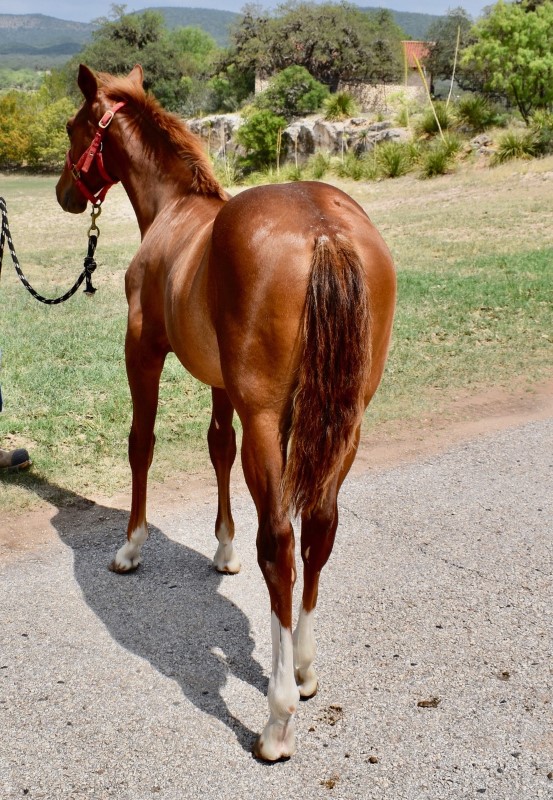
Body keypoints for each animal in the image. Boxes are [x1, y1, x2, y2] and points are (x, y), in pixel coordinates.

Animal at [56, 65, 396, 760]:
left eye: (76, 127)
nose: (64, 194)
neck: (174, 212)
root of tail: (324, 231)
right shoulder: (224, 385)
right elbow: (218, 447)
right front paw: (222, 547)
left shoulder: (143, 350)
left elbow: (142, 442)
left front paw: (131, 547)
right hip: (342, 418)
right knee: (319, 528)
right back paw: (305, 669)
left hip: (267, 414)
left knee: (282, 543)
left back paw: (278, 716)